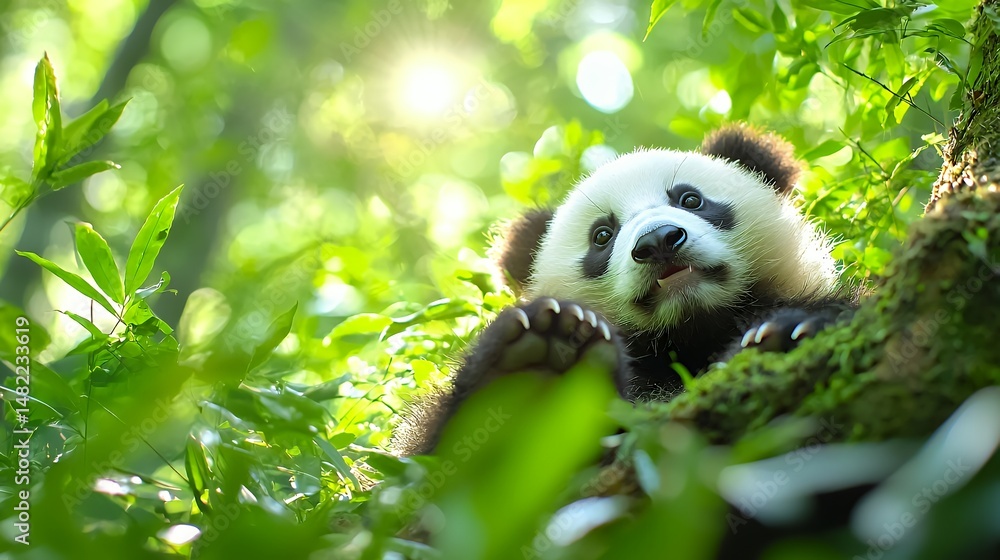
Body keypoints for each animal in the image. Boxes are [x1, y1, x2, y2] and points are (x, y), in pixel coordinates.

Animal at [394, 124, 854, 456]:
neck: (691, 332)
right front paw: (536, 368)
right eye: (602, 235)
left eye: (690, 199)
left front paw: (785, 333)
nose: (659, 241)